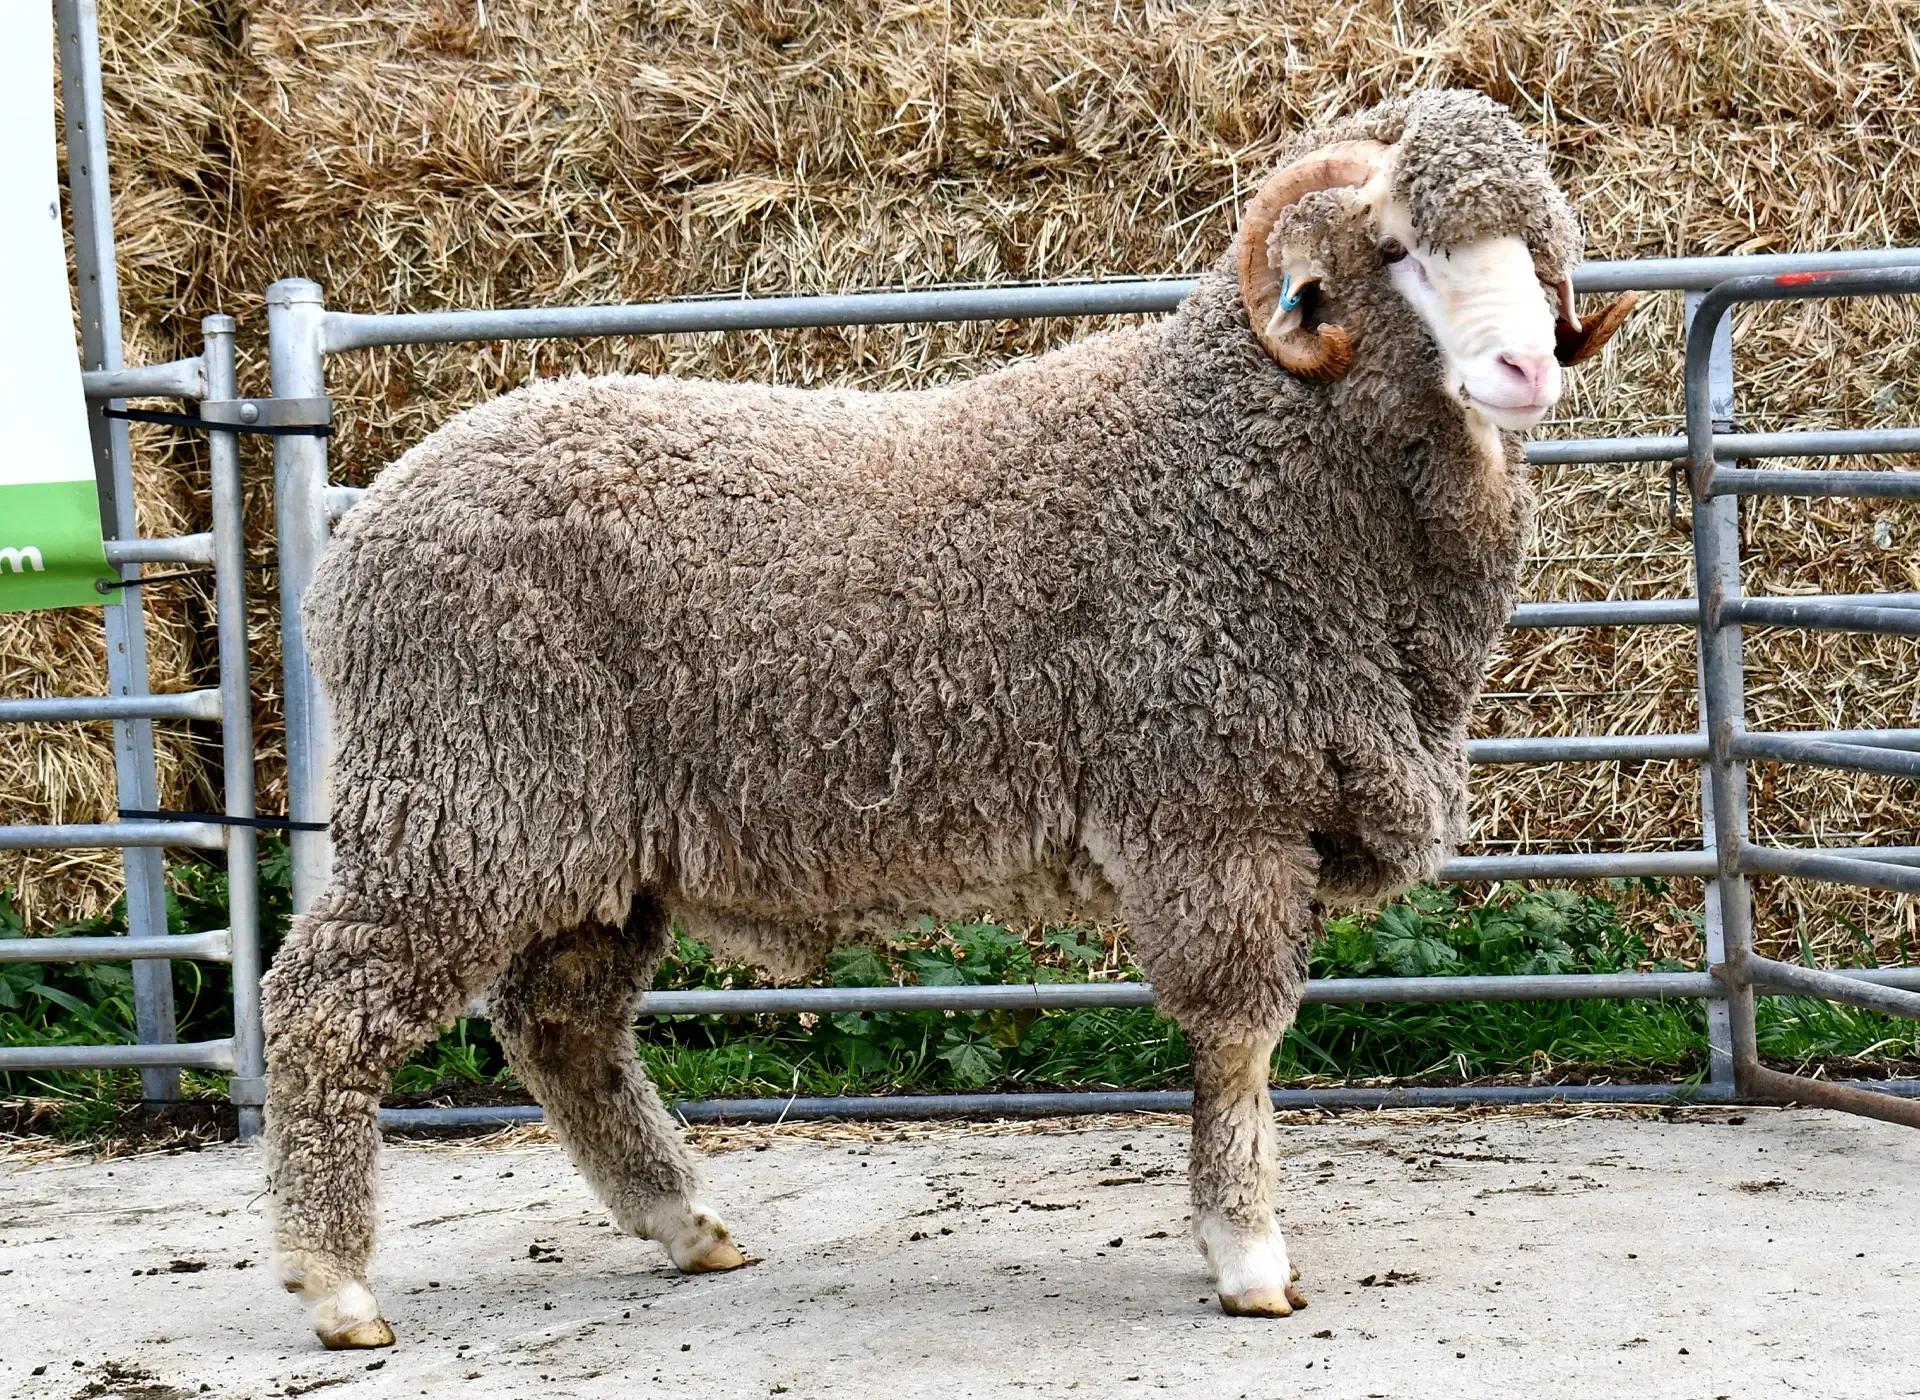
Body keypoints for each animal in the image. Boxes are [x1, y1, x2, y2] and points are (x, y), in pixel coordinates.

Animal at [261, 87, 1637, 1349]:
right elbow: (1240, 1037)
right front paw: (1248, 1255)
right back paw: (337, 1288)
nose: (1523, 371)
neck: (1237, 461)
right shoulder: (1214, 801)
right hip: (466, 793)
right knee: (324, 1006)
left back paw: (686, 1224)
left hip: (583, 843)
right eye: (1397, 247)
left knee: (562, 1024)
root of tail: (363, 534)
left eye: (1540, 247)